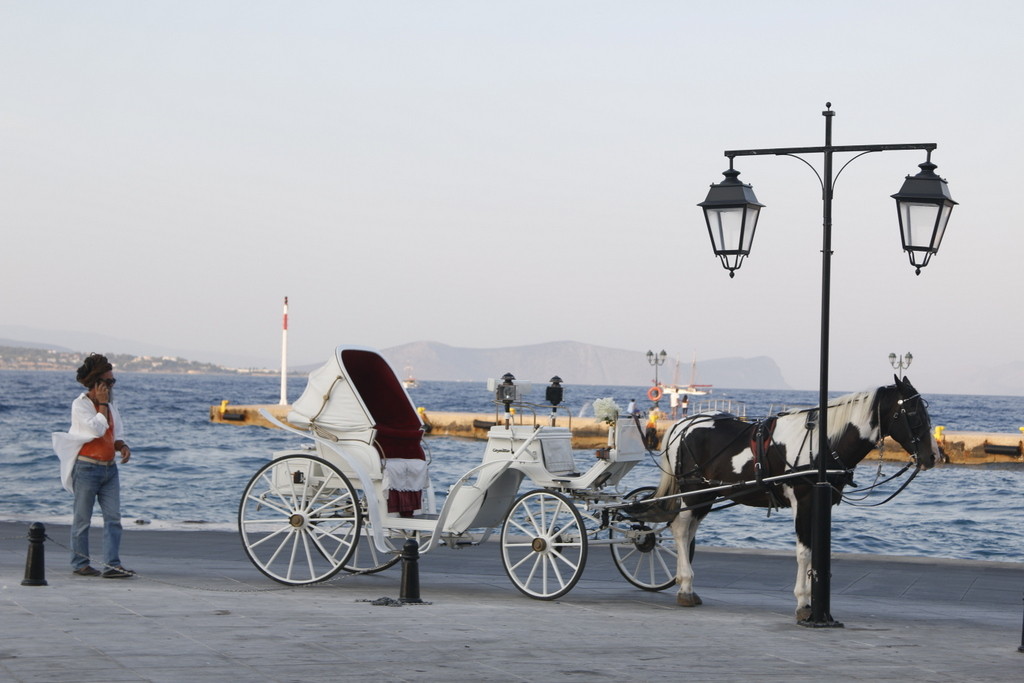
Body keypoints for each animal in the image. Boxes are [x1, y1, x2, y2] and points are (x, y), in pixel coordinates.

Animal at [647, 376, 937, 622]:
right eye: (912, 413)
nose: (933, 456)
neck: (823, 443)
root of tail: (682, 425)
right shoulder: (804, 502)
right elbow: (804, 552)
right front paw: (803, 603)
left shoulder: (821, 503)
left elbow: (817, 551)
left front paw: (813, 603)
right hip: (693, 491)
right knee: (680, 529)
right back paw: (685, 585)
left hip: (705, 495)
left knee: (688, 532)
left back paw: (685, 583)